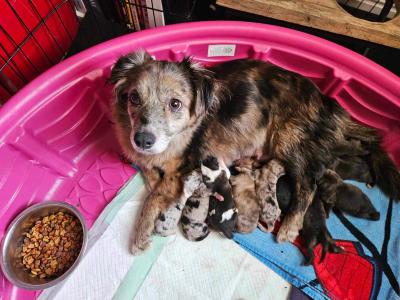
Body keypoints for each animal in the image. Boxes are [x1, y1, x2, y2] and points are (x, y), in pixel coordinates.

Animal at [109, 51, 400, 253]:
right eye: (134, 98)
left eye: (175, 104)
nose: (142, 140)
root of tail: (326, 101)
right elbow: (150, 177)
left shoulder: (181, 169)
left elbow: (152, 197)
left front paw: (140, 234)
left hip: (288, 139)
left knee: (309, 183)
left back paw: (290, 226)